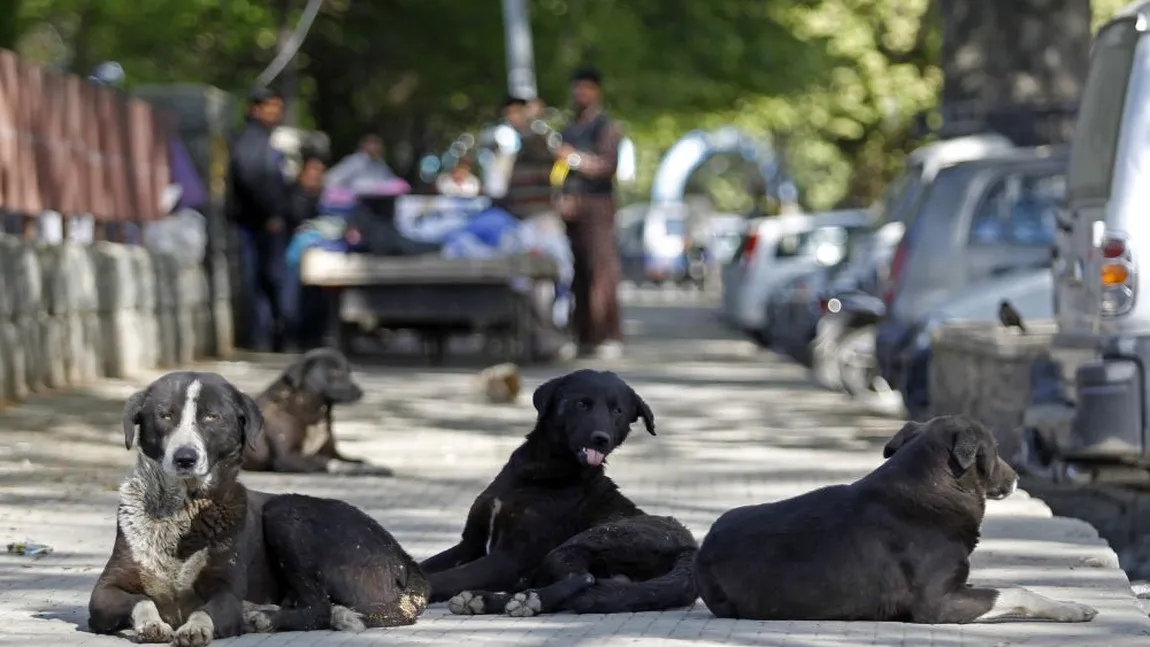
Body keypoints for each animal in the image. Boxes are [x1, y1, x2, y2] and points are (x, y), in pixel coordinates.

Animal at [86, 372, 427, 643]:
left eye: (211, 417)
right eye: (165, 415)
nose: (185, 458)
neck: (182, 509)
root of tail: (404, 558)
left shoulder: (226, 592)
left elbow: (206, 612)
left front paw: (197, 627)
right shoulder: (103, 592)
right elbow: (142, 600)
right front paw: (152, 624)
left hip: (285, 512)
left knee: (318, 607)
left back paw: (262, 617)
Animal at [241, 349, 391, 475]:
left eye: (349, 372)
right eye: (334, 371)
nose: (360, 392)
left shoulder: (332, 452)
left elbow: (358, 460)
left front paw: (371, 466)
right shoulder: (286, 457)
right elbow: (327, 462)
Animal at [418, 370, 694, 615]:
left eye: (618, 411)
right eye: (582, 404)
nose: (601, 439)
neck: (543, 473)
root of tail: (689, 549)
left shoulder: (512, 557)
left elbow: (449, 577)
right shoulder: (469, 544)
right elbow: (424, 566)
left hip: (589, 540)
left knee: (583, 578)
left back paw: (527, 601)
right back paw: (487, 601)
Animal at [690, 418, 1094, 625]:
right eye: (994, 451)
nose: (1017, 479)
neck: (932, 490)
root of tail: (702, 550)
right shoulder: (937, 604)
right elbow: (1018, 591)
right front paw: (1070, 608)